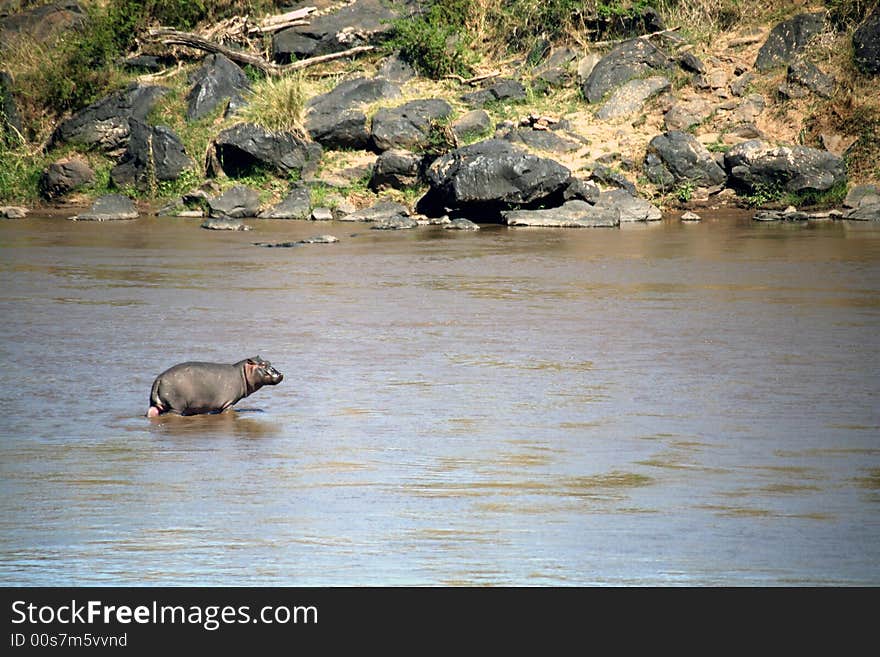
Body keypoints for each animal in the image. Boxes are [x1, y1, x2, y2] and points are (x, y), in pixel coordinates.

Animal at [148, 356, 284, 418]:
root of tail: (159, 379)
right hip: (176, 407)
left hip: (156, 405)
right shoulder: (229, 403)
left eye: (269, 362)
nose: (280, 374)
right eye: (262, 364)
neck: (242, 372)